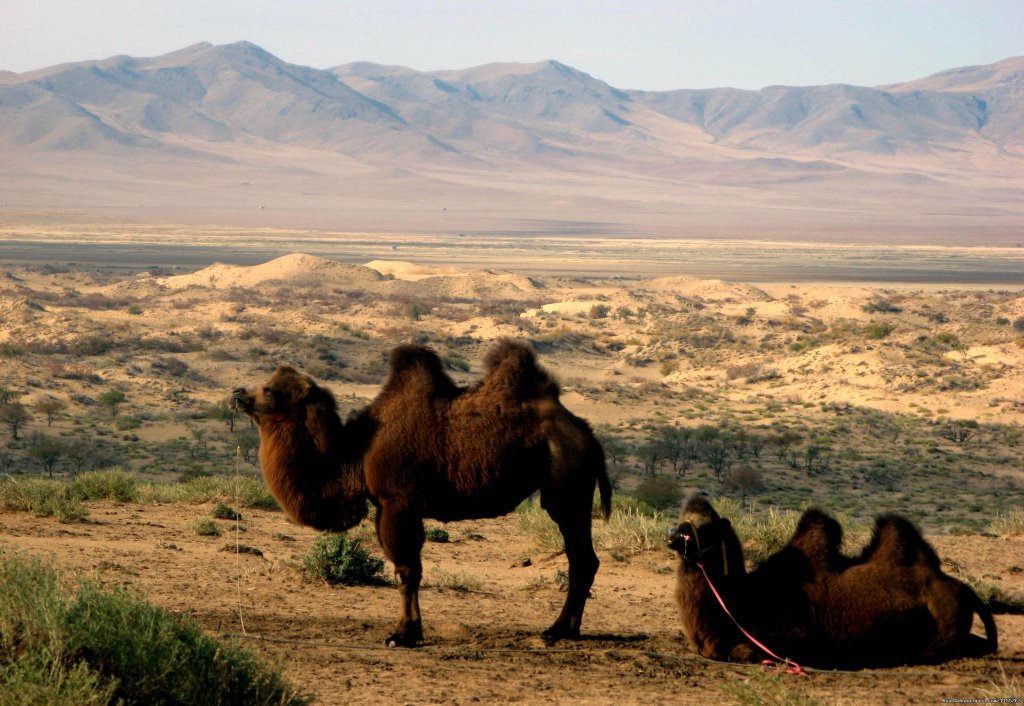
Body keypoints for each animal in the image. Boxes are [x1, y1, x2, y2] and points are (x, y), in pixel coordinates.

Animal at [234, 338, 606, 647]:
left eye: (270, 390)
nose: (238, 394)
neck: (356, 454)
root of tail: (585, 431)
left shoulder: (398, 503)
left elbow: (407, 570)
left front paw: (403, 634)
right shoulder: (385, 506)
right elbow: (408, 569)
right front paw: (409, 630)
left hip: (567, 489)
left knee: (581, 556)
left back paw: (557, 630)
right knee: (582, 558)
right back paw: (566, 629)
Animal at [667, 489, 995, 668]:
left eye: (705, 526)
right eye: (680, 518)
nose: (673, 536)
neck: (741, 600)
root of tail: (963, 588)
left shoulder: (795, 639)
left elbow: (744, 651)